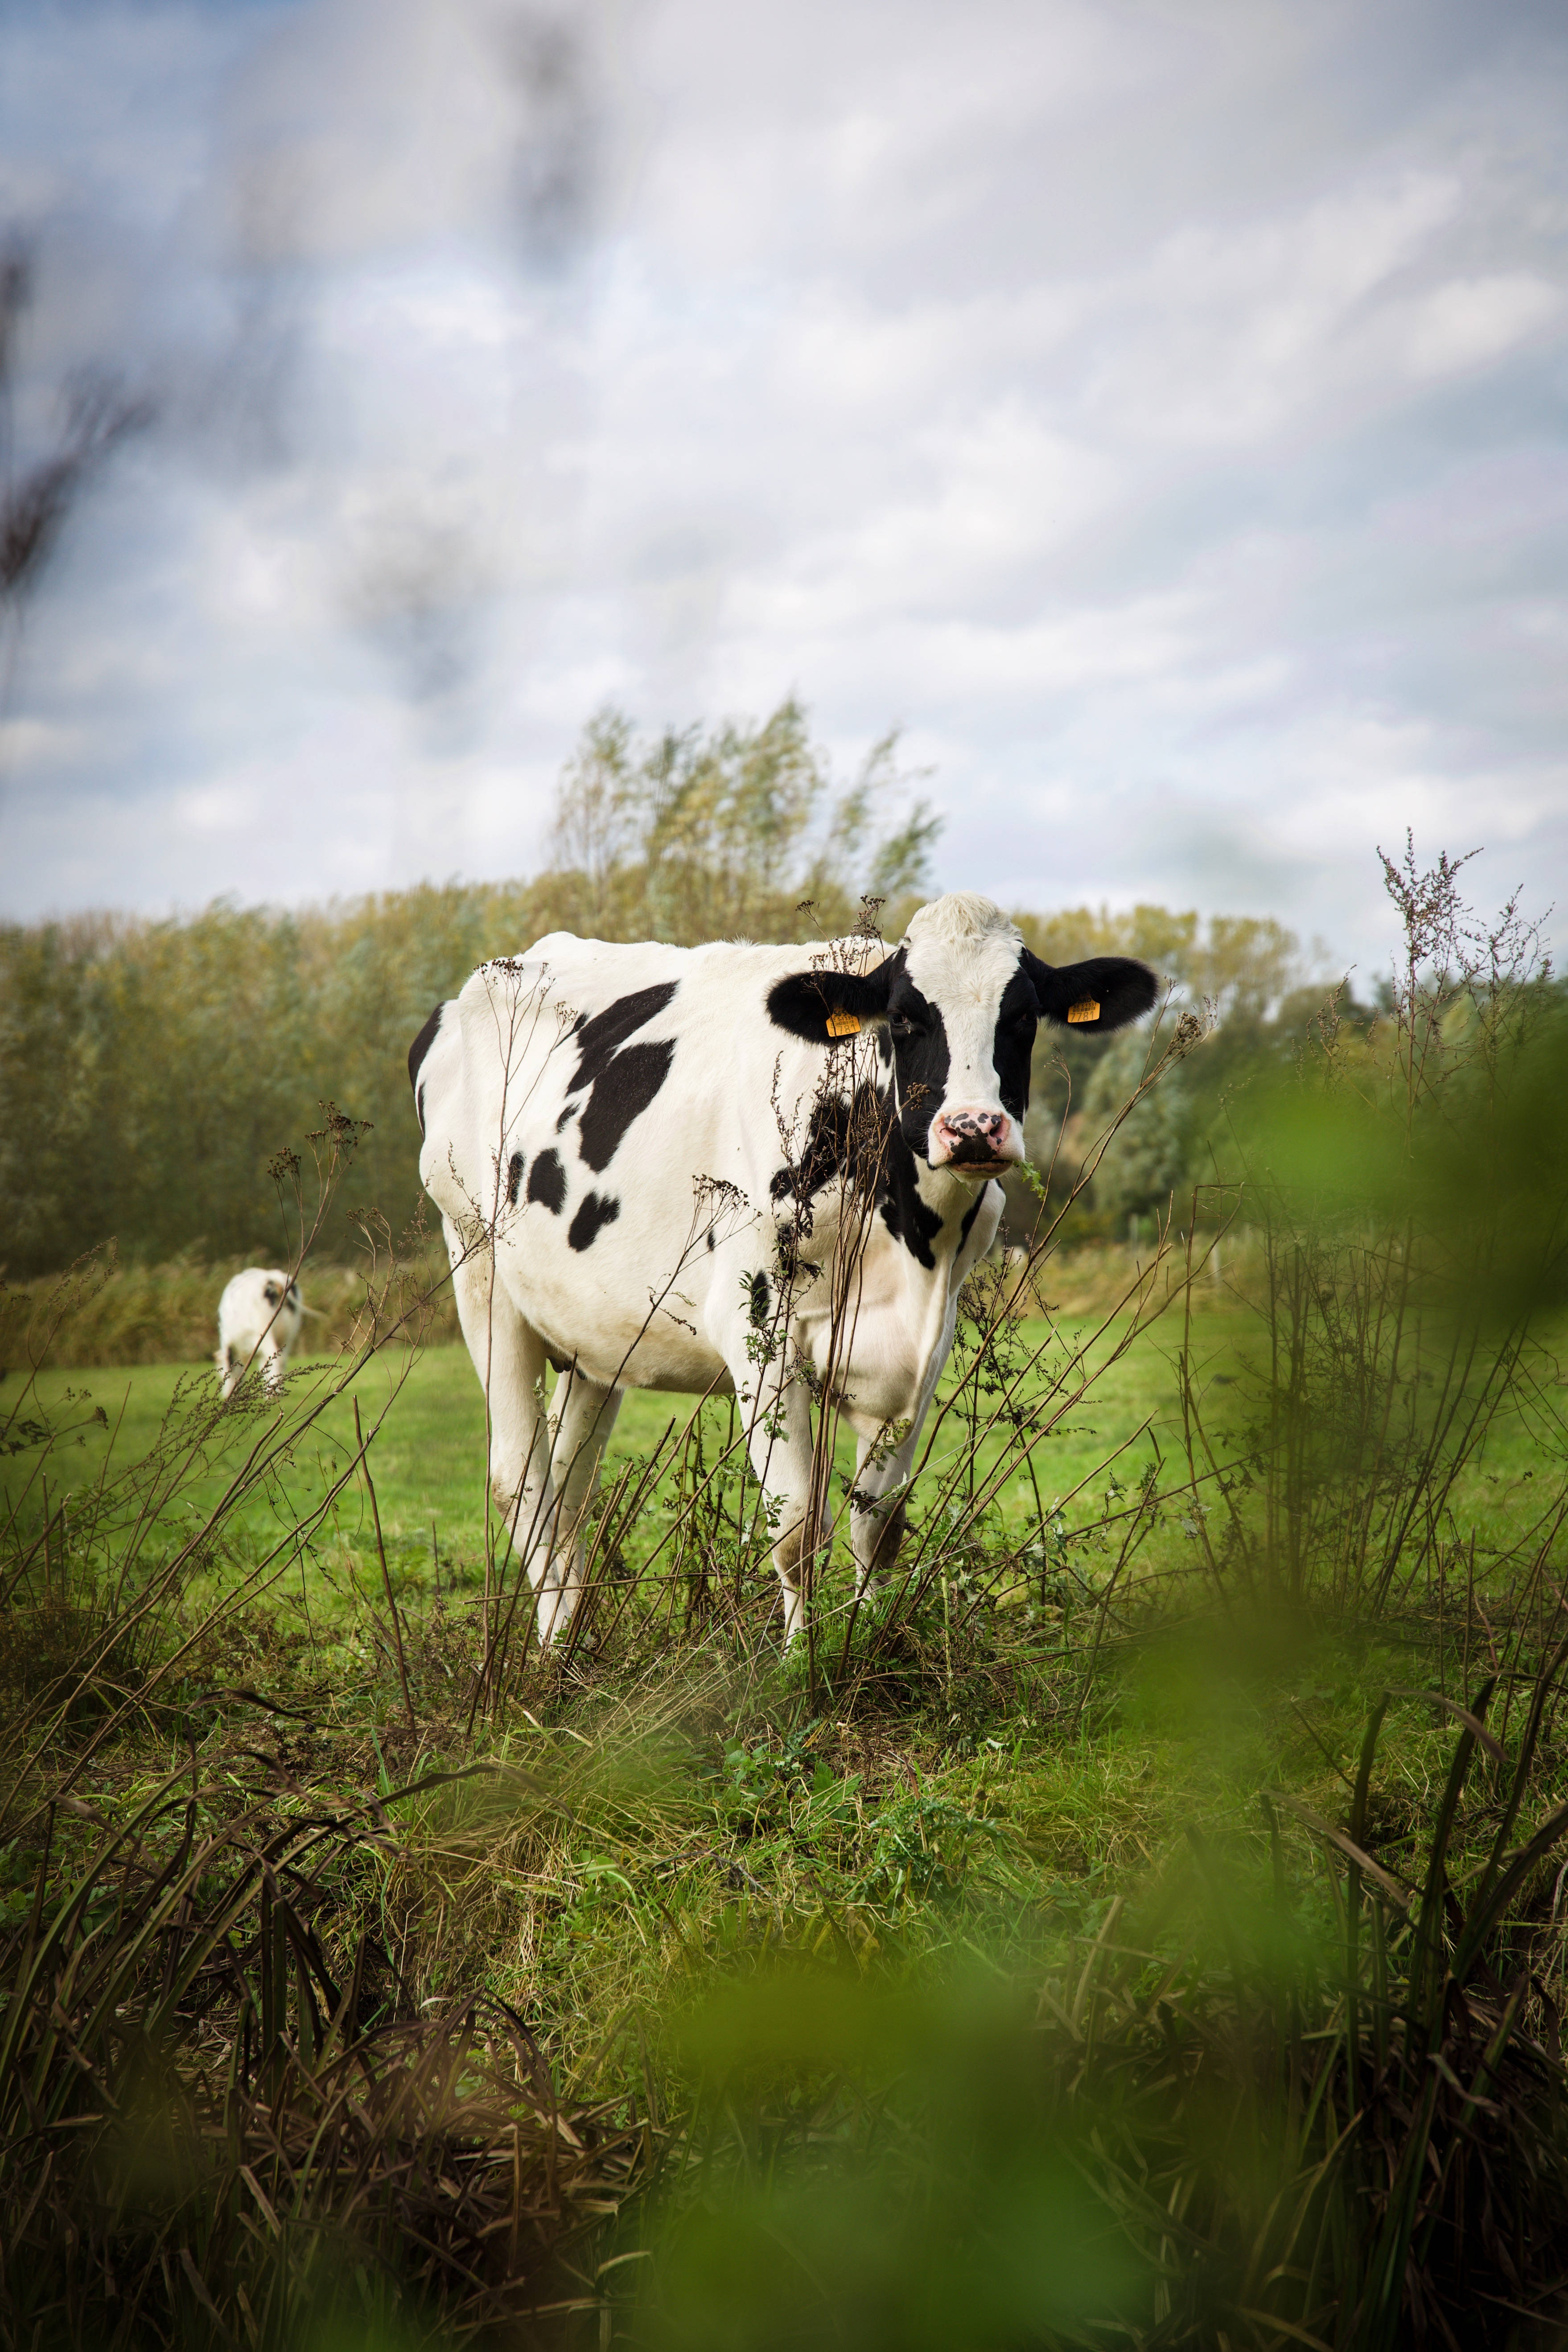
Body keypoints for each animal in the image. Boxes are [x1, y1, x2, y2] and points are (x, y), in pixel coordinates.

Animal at [216, 1268, 304, 1397]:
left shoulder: (227, 1341)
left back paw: (272, 1394)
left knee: (275, 1357)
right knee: (282, 1359)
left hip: (264, 1330)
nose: (226, 1395)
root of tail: (275, 1278)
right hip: (289, 1334)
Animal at [410, 892, 1155, 1647]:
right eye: (905, 1017)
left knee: (569, 1486)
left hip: (593, 1334)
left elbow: (877, 1527)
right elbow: (797, 1527)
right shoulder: (756, 1327)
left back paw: (570, 1643)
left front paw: (866, 1642)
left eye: (1023, 1017)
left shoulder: (924, 1343)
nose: (973, 1129)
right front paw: (803, 1658)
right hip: (479, 1270)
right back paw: (552, 1649)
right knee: (520, 1483)